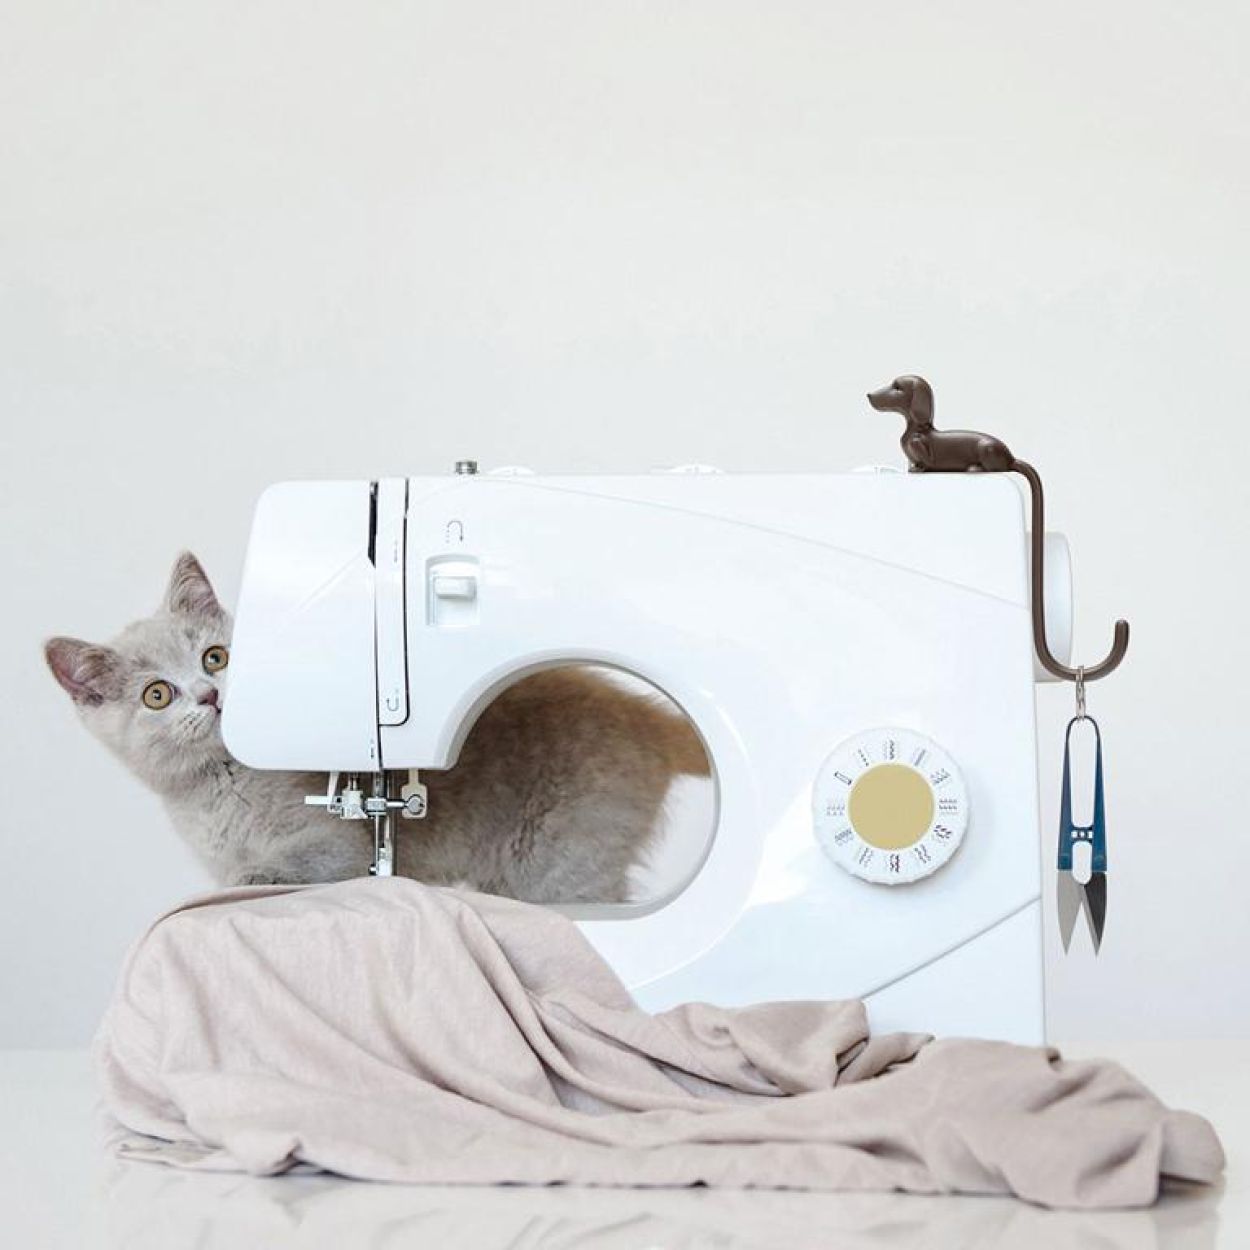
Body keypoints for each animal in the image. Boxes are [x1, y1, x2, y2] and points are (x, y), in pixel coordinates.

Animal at [45, 553, 710, 901]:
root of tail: (642, 712)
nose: (210, 696)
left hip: (562, 855)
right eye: (157, 694)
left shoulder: (332, 841)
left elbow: (300, 860)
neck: (214, 789)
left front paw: (245, 877)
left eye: (215, 657)